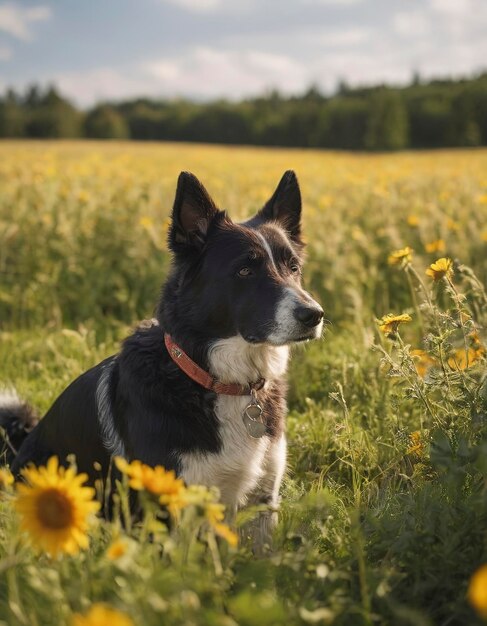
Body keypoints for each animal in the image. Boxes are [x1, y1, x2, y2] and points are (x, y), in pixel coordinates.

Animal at [0, 169, 324, 540]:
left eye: (293, 267)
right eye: (245, 270)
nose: (314, 315)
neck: (216, 381)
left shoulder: (262, 501)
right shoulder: (167, 510)